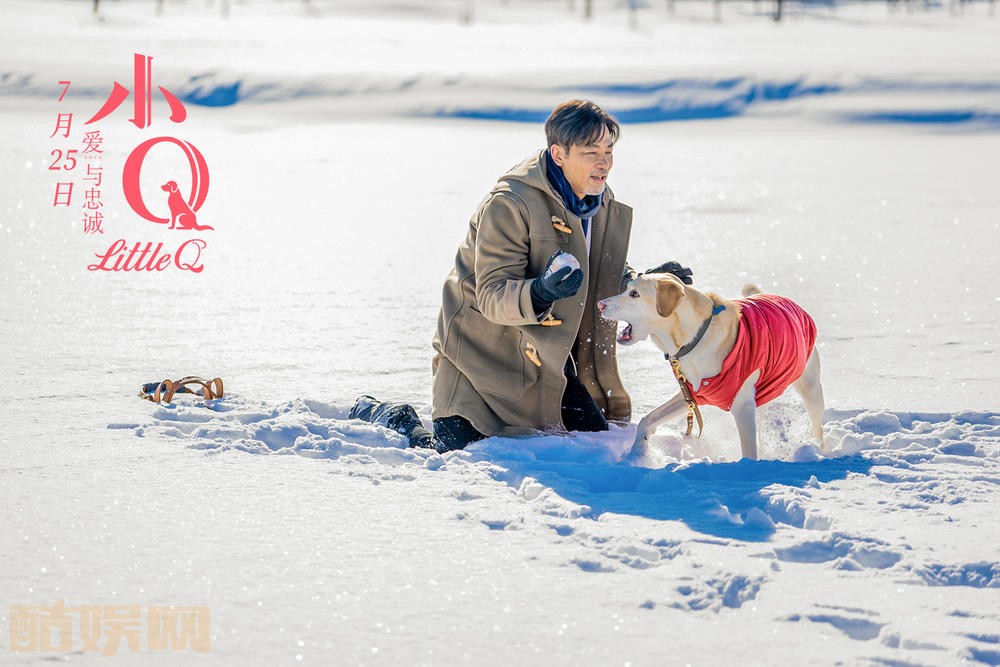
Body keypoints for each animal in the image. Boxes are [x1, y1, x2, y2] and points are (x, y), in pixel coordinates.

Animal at [596, 274, 824, 462]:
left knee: (817, 425)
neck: (695, 338)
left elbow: (749, 451)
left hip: (810, 387)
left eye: (635, 294)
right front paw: (637, 454)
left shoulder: (741, 405)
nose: (599, 304)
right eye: (627, 289)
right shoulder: (691, 394)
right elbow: (648, 419)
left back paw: (818, 449)